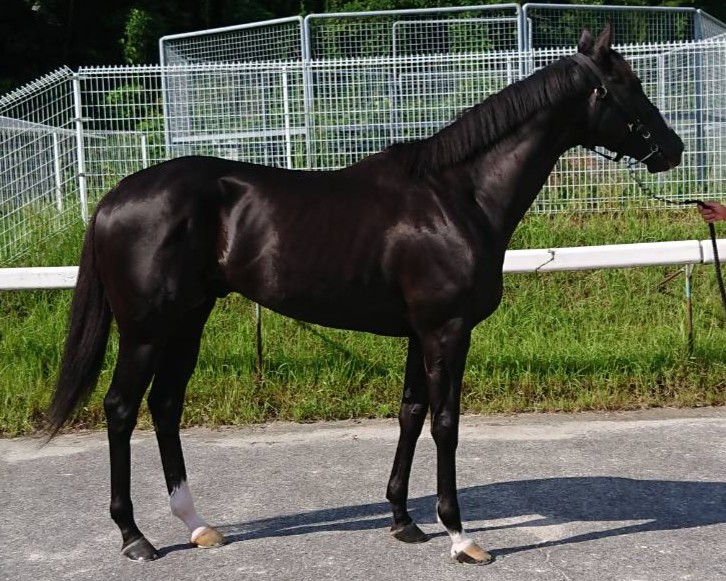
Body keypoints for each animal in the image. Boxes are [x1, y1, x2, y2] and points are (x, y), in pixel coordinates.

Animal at [46, 24, 683, 565]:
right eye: (627, 86)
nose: (674, 148)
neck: (458, 196)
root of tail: (112, 198)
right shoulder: (447, 330)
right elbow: (446, 422)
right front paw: (460, 536)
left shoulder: (420, 333)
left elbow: (410, 414)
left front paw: (404, 520)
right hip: (146, 330)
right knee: (121, 408)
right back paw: (135, 537)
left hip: (189, 319)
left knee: (165, 406)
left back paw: (197, 525)